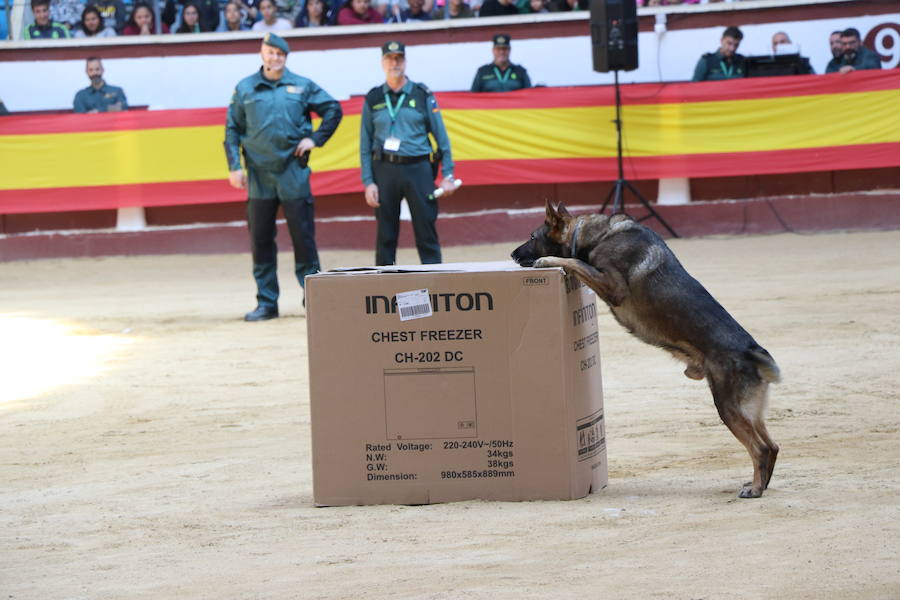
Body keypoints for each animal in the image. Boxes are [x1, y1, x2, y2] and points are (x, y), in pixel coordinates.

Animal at [512, 202, 780, 496]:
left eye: (533, 237)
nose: (512, 254)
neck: (597, 236)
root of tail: (753, 350)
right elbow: (577, 263)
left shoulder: (611, 285)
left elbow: (575, 262)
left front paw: (548, 260)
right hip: (749, 410)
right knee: (772, 446)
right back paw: (759, 483)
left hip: (728, 406)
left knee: (760, 448)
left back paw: (755, 489)